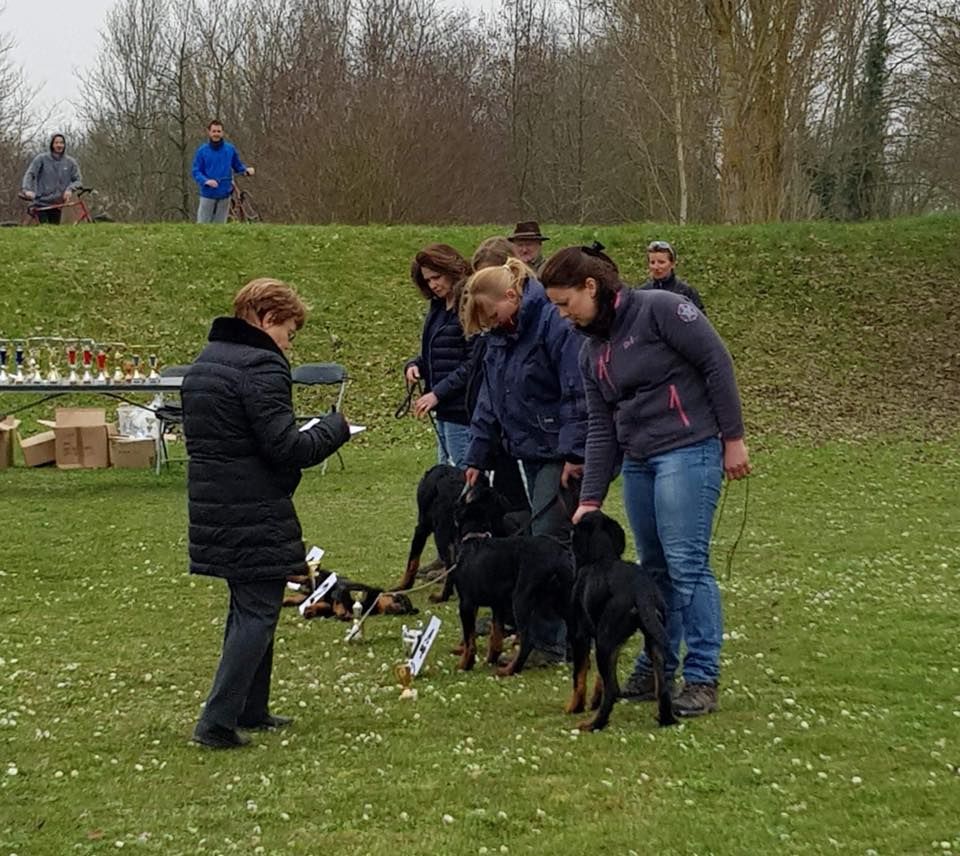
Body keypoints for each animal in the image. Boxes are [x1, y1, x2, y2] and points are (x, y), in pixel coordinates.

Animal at [454, 482, 572, 676]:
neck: (474, 538)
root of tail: (559, 555)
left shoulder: (467, 603)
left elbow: (470, 640)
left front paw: (464, 665)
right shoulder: (498, 604)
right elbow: (496, 636)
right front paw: (491, 659)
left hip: (521, 598)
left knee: (527, 641)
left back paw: (509, 670)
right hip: (563, 599)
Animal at [568, 512, 680, 732]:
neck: (603, 557)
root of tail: (641, 590)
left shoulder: (581, 635)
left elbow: (580, 677)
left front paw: (574, 707)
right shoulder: (612, 642)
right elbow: (599, 679)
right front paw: (593, 701)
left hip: (604, 641)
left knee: (613, 689)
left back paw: (592, 724)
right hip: (652, 640)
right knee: (661, 688)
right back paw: (666, 719)